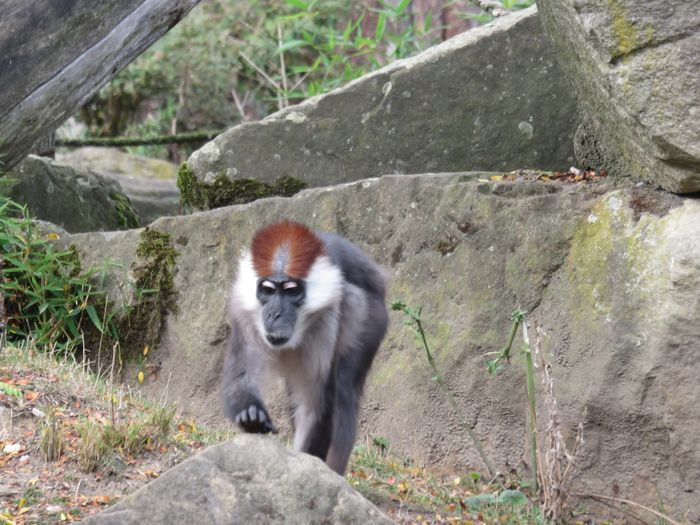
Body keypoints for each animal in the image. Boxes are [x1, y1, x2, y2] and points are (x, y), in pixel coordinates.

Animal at [221, 219, 388, 472]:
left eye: (291, 290)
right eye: (268, 290)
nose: (274, 314)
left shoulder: (332, 317)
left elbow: (317, 406)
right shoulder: (245, 313)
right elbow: (241, 374)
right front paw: (251, 415)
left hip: (371, 317)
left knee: (344, 395)